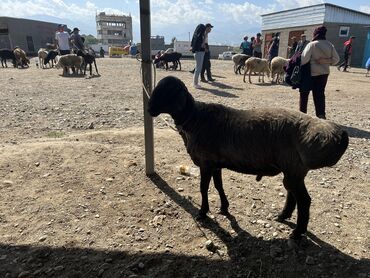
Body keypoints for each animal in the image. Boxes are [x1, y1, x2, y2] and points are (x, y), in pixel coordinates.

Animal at [148, 75, 350, 239]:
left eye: (167, 92)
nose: (149, 109)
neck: (194, 119)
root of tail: (333, 133)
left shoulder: (205, 163)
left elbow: (203, 188)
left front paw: (203, 212)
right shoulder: (215, 163)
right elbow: (218, 186)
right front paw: (224, 207)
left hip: (293, 170)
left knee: (304, 200)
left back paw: (297, 232)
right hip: (293, 170)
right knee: (293, 194)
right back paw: (283, 216)